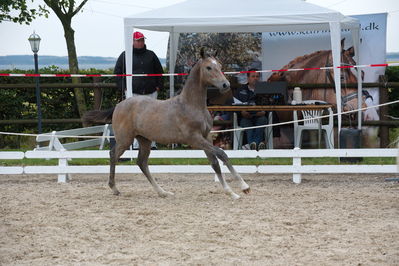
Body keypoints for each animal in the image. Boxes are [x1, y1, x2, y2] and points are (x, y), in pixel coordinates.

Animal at [83, 50, 250, 200]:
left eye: (220, 65)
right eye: (209, 67)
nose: (225, 84)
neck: (191, 105)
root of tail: (118, 105)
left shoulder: (206, 136)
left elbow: (214, 162)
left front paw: (232, 193)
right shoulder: (194, 139)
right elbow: (222, 154)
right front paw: (244, 186)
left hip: (145, 140)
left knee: (141, 162)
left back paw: (163, 192)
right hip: (125, 140)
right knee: (113, 155)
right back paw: (115, 188)